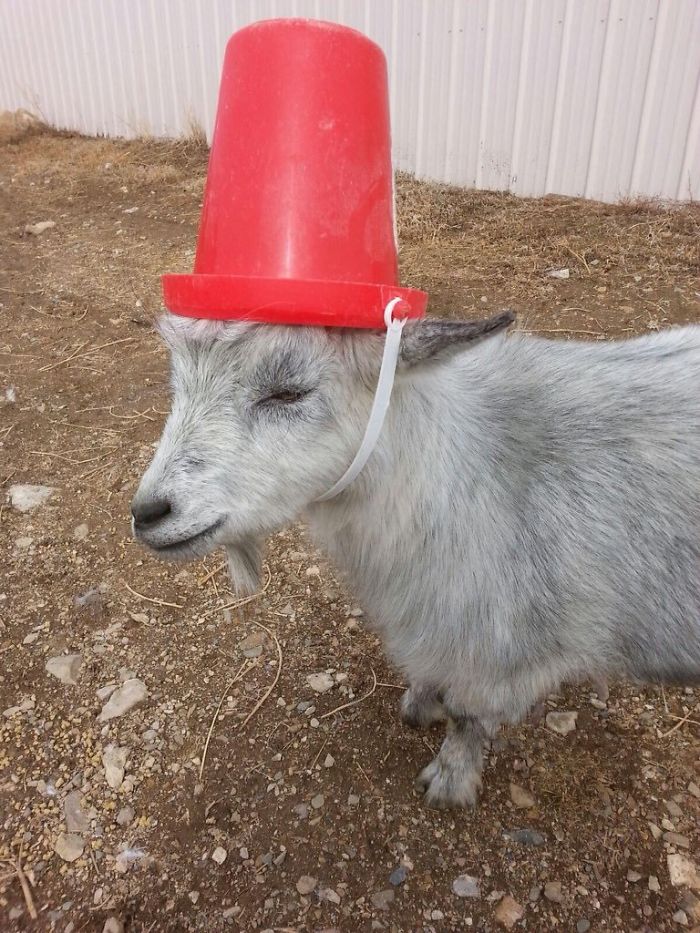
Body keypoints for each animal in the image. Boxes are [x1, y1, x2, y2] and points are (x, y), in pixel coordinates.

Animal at [132, 313, 700, 807]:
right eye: (178, 384)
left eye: (288, 392)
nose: (146, 513)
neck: (467, 474)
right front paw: (420, 701)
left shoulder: (505, 656)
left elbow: (467, 717)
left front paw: (449, 781)